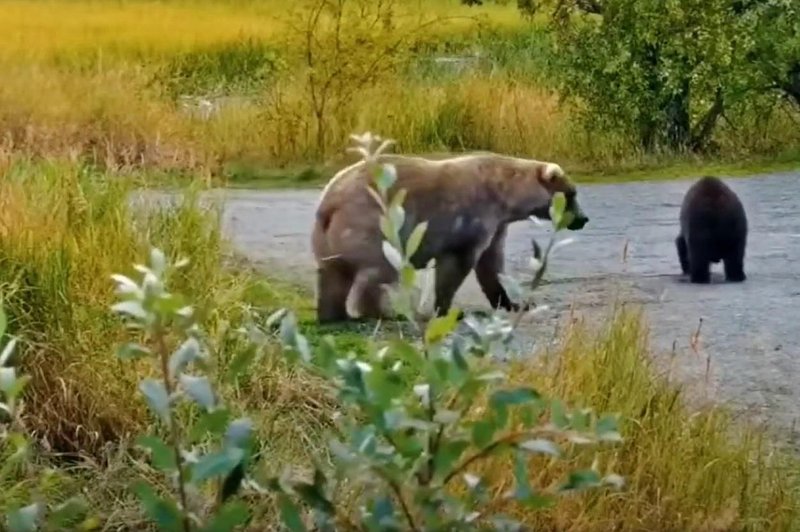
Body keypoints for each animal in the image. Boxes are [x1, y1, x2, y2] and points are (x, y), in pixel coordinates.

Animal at [316, 152, 592, 322]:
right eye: (572, 194)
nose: (583, 219)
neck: (506, 196)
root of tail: (331, 202)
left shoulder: (496, 224)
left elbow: (491, 264)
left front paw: (513, 303)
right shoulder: (471, 216)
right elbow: (458, 264)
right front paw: (447, 309)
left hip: (328, 237)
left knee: (333, 274)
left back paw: (333, 313)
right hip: (374, 223)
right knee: (379, 270)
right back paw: (382, 311)